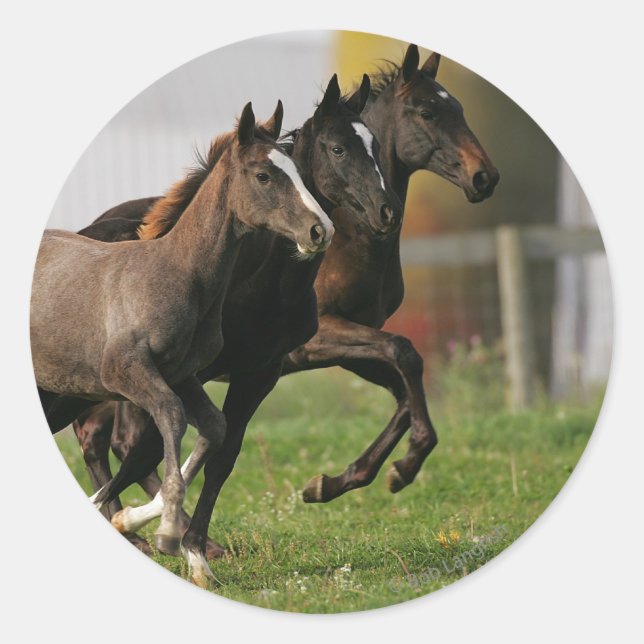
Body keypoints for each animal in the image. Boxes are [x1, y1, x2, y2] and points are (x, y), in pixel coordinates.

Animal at [50, 75, 402, 585]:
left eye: (374, 143)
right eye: (338, 148)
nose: (385, 211)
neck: (259, 282)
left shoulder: (260, 373)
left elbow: (222, 454)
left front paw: (191, 549)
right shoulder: (177, 375)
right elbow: (149, 449)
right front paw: (143, 524)